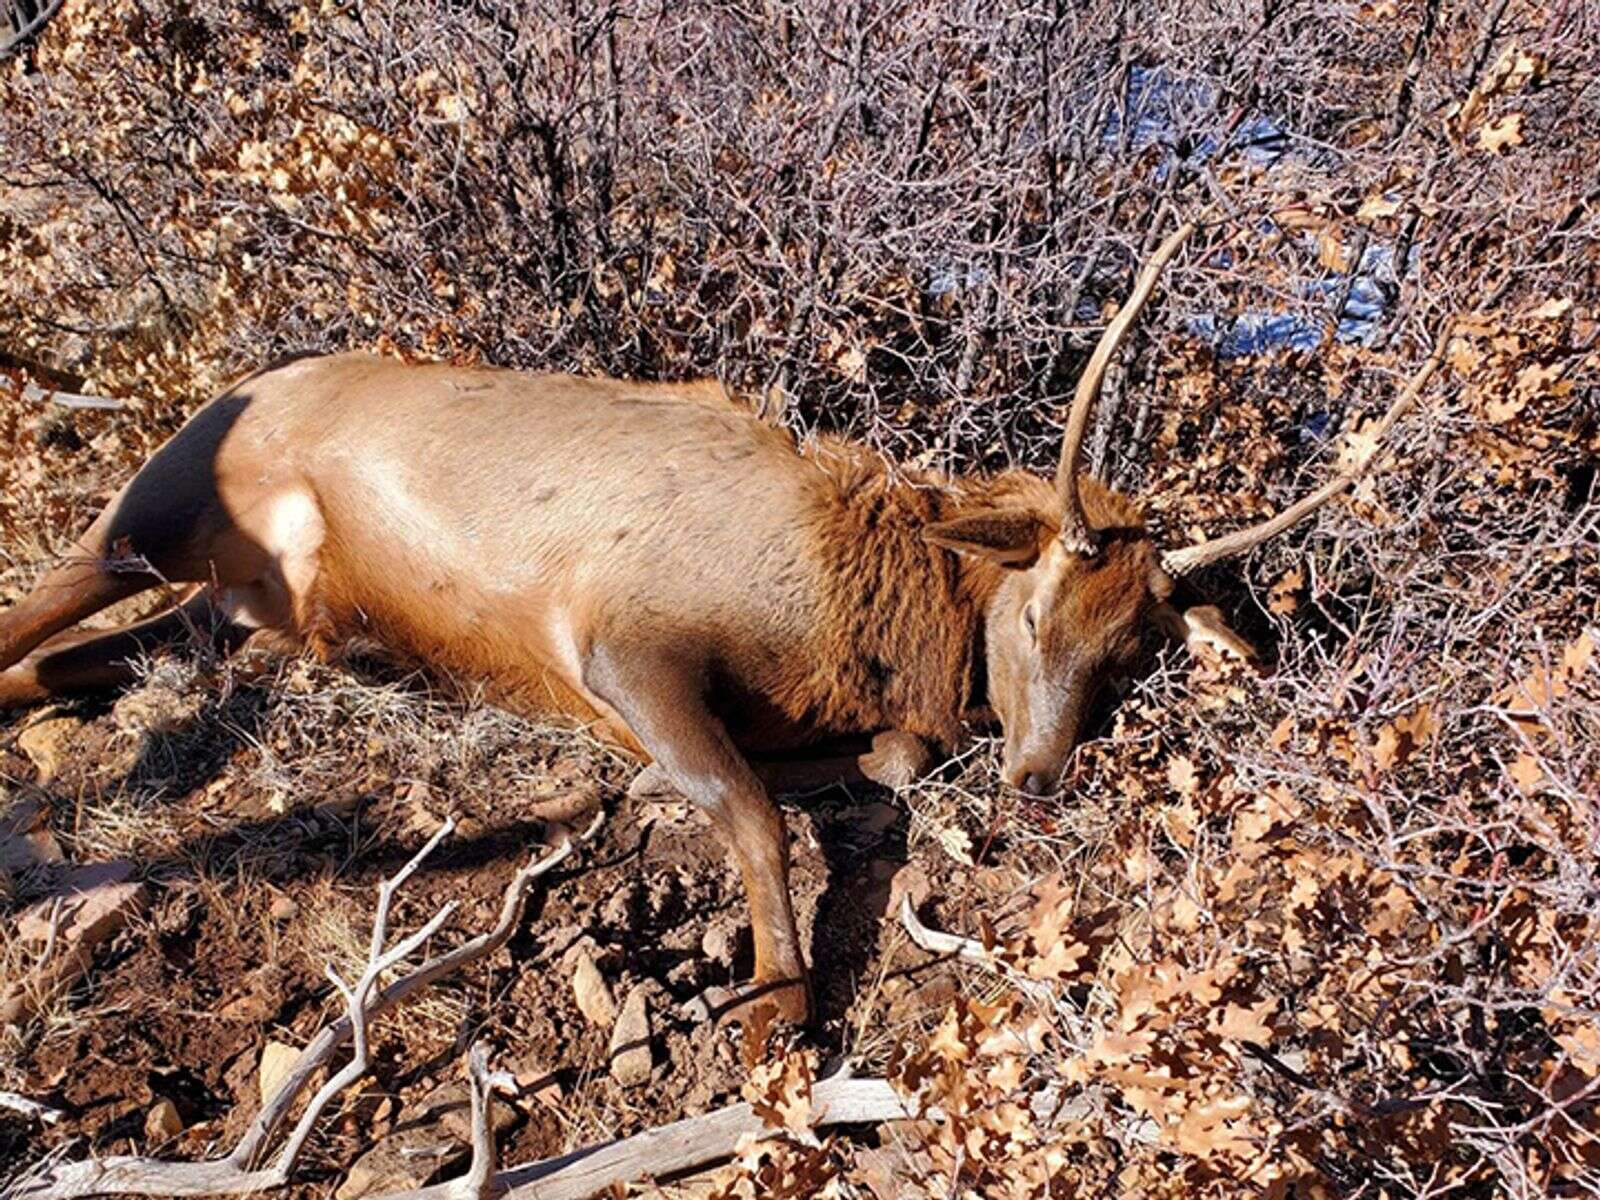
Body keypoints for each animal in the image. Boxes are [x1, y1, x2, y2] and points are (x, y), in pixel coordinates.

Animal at [0, 220, 1446, 1017]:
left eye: (1138, 651)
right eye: (1038, 612)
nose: (1041, 773)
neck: (856, 608)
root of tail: (255, 378)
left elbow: (880, 765)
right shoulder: (615, 636)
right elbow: (750, 811)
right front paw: (774, 1010)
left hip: (250, 615)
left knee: (89, 659)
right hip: (154, 511)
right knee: (43, 597)